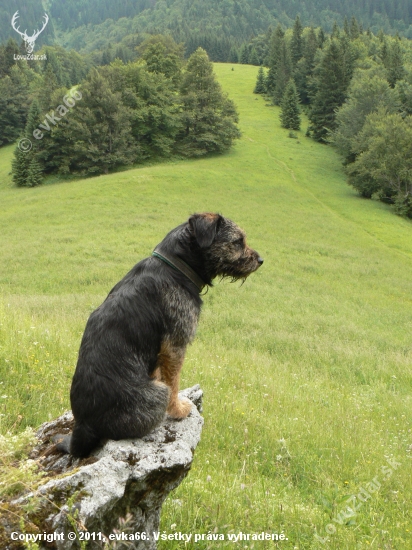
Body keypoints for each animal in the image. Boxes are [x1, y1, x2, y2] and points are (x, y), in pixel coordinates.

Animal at [56, 213, 264, 460]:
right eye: (238, 241)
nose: (261, 260)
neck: (176, 266)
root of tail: (82, 427)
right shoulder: (175, 345)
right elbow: (173, 382)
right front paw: (178, 410)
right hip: (156, 395)